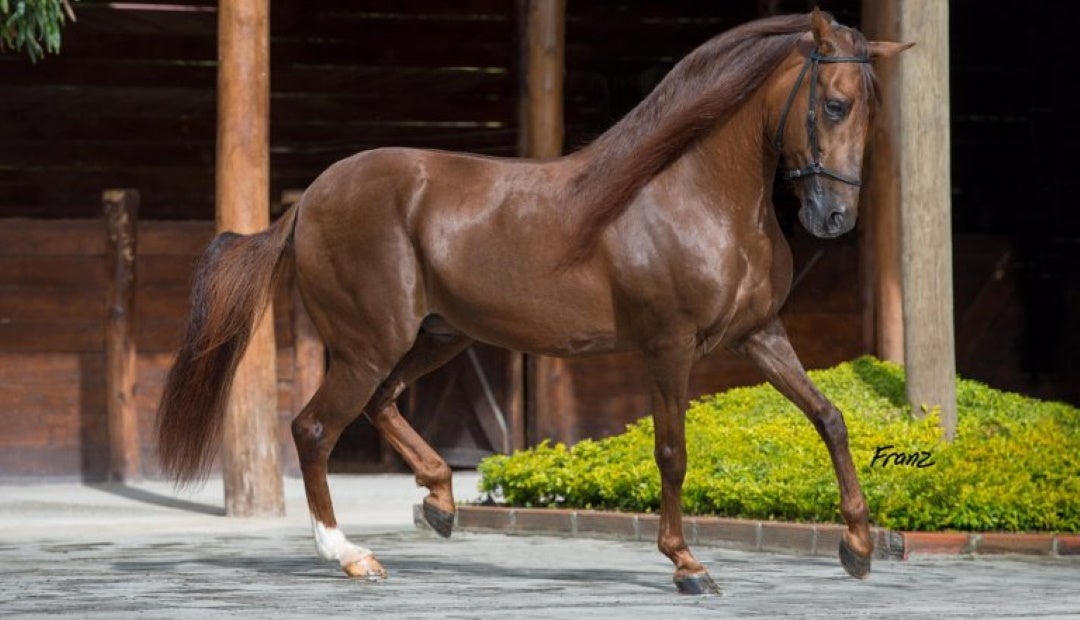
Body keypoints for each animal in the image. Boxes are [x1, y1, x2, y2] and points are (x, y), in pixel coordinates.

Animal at [154, 10, 911, 596]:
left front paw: (859, 547)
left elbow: (831, 418)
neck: (693, 195)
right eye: (835, 103)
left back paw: (440, 501)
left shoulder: (759, 335)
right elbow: (672, 452)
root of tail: (309, 200)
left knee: (381, 406)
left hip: (436, 337)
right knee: (314, 429)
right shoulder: (669, 346)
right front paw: (688, 566)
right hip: (371, 345)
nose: (833, 218)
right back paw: (353, 557)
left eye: (873, 111)